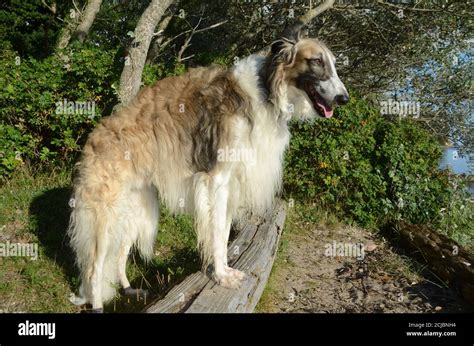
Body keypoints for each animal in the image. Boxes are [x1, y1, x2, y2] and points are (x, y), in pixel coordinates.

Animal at [67, 25, 348, 310]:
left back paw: (129, 291)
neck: (265, 92)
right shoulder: (216, 181)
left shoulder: (231, 185)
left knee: (119, 258)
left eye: (334, 63)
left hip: (136, 211)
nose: (343, 98)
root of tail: (95, 136)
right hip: (105, 218)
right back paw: (98, 304)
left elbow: (223, 234)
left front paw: (224, 270)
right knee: (94, 270)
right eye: (316, 61)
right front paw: (222, 276)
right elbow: (216, 234)